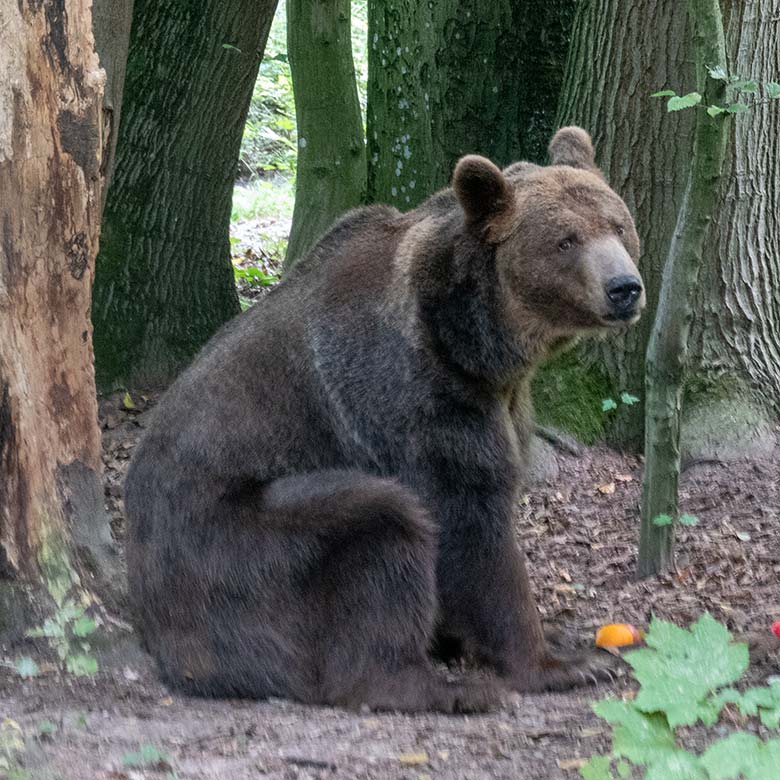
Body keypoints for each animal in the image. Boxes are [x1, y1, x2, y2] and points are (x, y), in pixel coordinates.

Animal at [125, 126, 644, 712]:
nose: (624, 287)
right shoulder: (414, 401)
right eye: (565, 240)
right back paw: (441, 687)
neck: (474, 345)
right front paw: (560, 663)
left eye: (618, 224)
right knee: (382, 526)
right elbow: (470, 526)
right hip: (238, 549)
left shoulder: (501, 401)